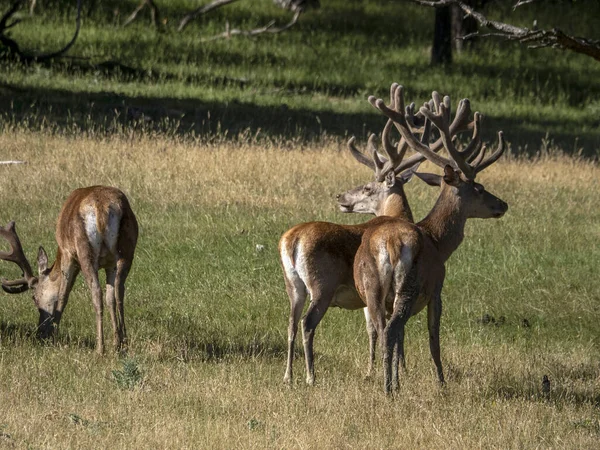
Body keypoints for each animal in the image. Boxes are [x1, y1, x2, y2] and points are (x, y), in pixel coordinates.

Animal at [0, 186, 138, 356]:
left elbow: (63, 295)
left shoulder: (67, 254)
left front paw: (54, 336)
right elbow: (110, 298)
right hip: (127, 246)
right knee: (119, 291)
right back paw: (123, 345)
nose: (39, 333)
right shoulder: (109, 264)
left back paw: (100, 349)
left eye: (35, 298)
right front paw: (116, 344)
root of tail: (102, 208)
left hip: (84, 249)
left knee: (96, 291)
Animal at [278, 83, 476, 384]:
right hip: (322, 284)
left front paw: (373, 369)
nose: (340, 197)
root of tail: (293, 240)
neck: (399, 217)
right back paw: (311, 376)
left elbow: (373, 329)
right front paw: (397, 369)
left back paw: (289, 376)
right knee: (307, 323)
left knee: (290, 322)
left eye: (368, 187)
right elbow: (390, 330)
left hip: (294, 284)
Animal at [354, 85, 508, 394]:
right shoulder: (437, 287)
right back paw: (389, 389)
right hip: (410, 283)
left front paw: (402, 376)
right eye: (479, 188)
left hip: (372, 287)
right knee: (391, 329)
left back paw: (387, 383)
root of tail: (389, 245)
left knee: (381, 329)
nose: (503, 204)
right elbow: (433, 339)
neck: (438, 241)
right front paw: (441, 380)